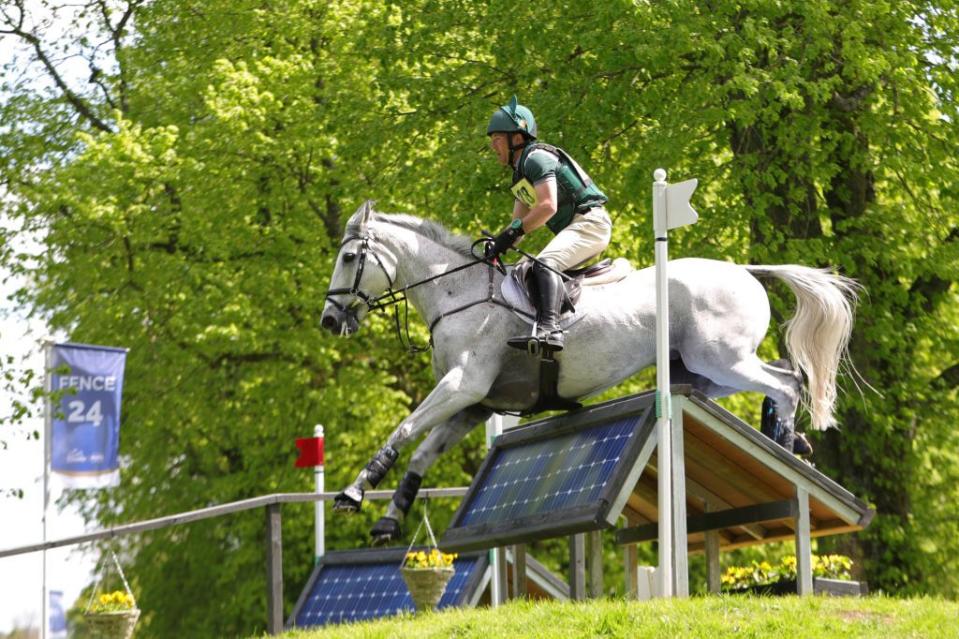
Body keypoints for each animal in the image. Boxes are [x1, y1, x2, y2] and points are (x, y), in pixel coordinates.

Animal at [318, 201, 860, 544]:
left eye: (349, 257)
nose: (329, 320)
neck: (458, 293)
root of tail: (744, 270)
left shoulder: (462, 386)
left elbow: (405, 429)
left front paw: (352, 493)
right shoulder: (477, 404)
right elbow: (422, 453)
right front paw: (390, 520)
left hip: (720, 357)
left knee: (786, 382)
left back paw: (786, 444)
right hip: (705, 369)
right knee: (780, 373)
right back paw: (791, 442)